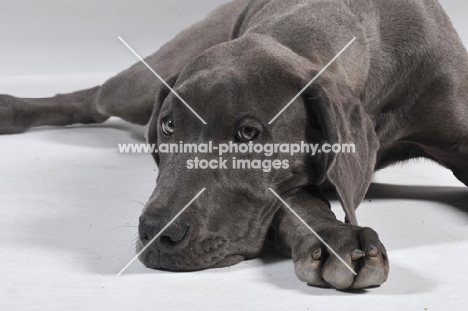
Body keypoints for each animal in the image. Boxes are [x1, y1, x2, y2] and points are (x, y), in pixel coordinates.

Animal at [0, 0, 468, 292]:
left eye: (247, 134)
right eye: (169, 125)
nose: (156, 234)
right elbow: (299, 202)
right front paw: (334, 235)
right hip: (142, 83)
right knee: (95, 98)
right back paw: (12, 108)